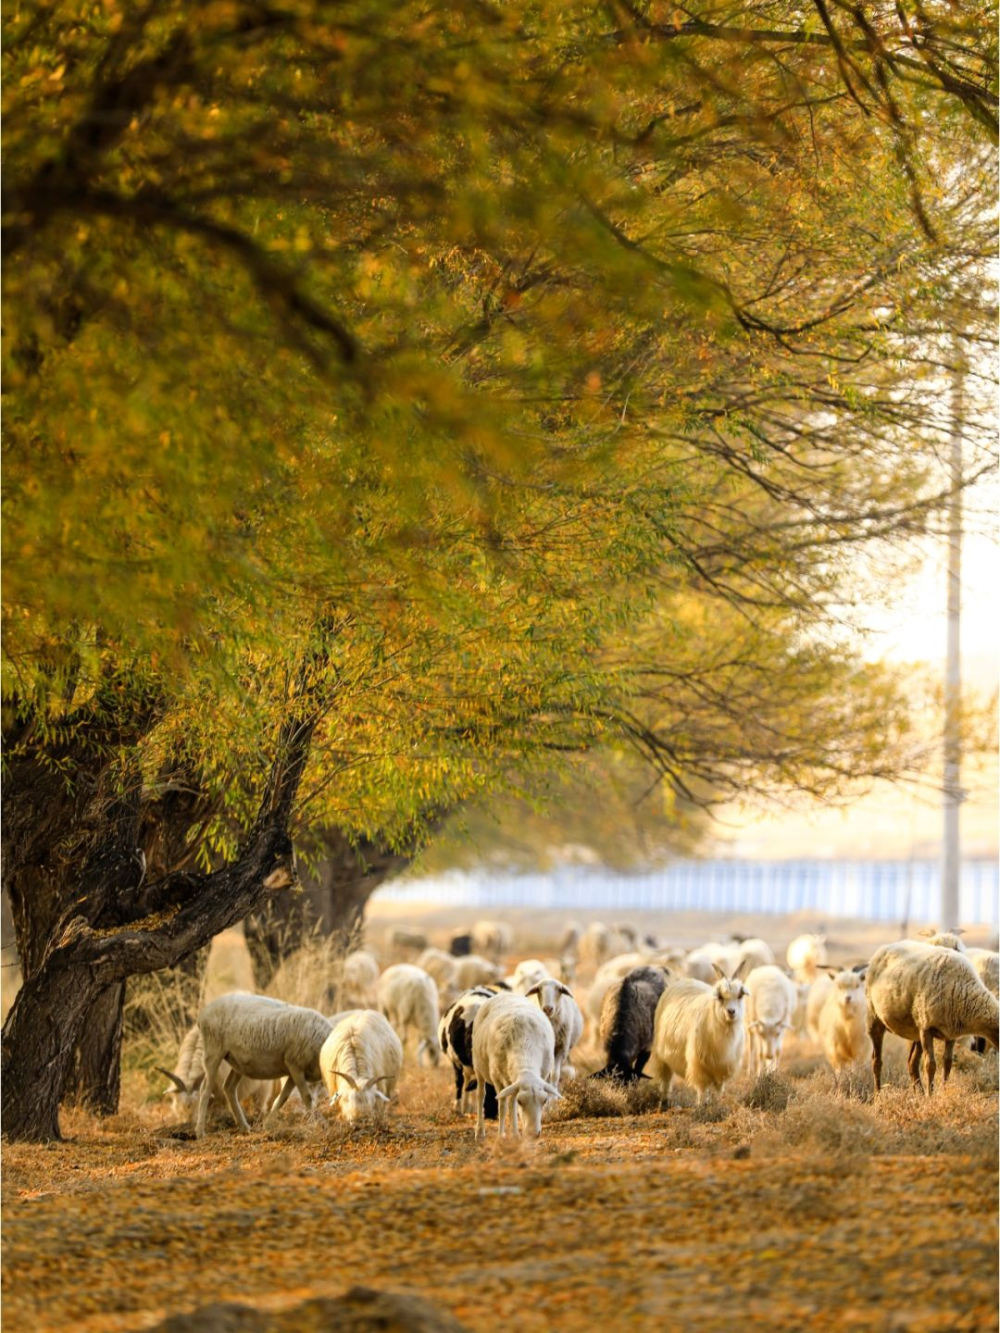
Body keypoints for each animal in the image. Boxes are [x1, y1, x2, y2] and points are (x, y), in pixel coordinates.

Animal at [196, 991, 333, 1135]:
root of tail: (203, 1014)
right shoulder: (295, 1064)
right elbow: (307, 1097)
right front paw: (318, 1125)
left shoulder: (294, 1071)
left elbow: (283, 1097)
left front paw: (267, 1123)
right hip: (213, 1051)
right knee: (205, 1089)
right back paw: (200, 1132)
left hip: (237, 1062)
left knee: (228, 1087)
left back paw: (244, 1126)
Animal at [472, 997, 565, 1141]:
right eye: (521, 1102)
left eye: (544, 1101)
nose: (533, 1134)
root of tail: (504, 994)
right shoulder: (497, 1078)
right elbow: (503, 1105)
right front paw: (502, 1135)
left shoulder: (542, 1074)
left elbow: (511, 1103)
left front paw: (515, 1134)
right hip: (478, 1067)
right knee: (481, 1095)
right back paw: (480, 1131)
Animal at [645, 965, 746, 1109]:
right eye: (720, 996)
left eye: (740, 995)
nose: (731, 1012)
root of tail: (683, 980)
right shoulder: (698, 1064)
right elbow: (702, 1088)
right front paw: (701, 1106)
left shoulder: (722, 1066)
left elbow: (719, 1089)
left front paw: (717, 1104)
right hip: (661, 1055)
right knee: (665, 1079)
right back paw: (664, 1102)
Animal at [864, 938, 997, 1093]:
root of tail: (885, 947)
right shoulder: (926, 1028)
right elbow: (930, 1065)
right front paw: (931, 1094)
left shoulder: (951, 1033)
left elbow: (947, 1062)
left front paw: (943, 1091)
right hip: (874, 1018)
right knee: (876, 1061)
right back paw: (878, 1093)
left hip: (915, 1030)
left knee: (912, 1063)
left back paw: (919, 1093)